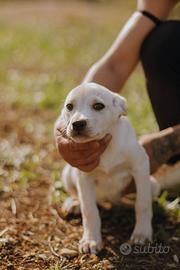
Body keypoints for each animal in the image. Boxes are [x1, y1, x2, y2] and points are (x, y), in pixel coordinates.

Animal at [54, 82, 160, 253]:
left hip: (154, 185)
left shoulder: (141, 166)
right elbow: (89, 210)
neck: (107, 149)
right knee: (83, 199)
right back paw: (74, 203)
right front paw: (91, 240)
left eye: (98, 106)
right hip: (67, 173)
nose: (77, 124)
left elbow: (142, 204)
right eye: (69, 106)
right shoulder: (83, 176)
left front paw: (142, 233)